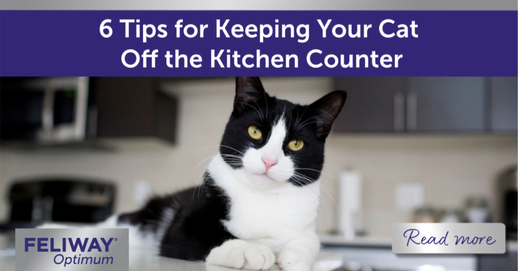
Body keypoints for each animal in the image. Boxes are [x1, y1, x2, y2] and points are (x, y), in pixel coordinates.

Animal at [46, 77, 346, 271]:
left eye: (295, 144)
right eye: (255, 131)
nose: (269, 161)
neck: (261, 197)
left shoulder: (305, 224)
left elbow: (310, 240)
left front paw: (295, 257)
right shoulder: (180, 227)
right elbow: (208, 236)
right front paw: (249, 250)